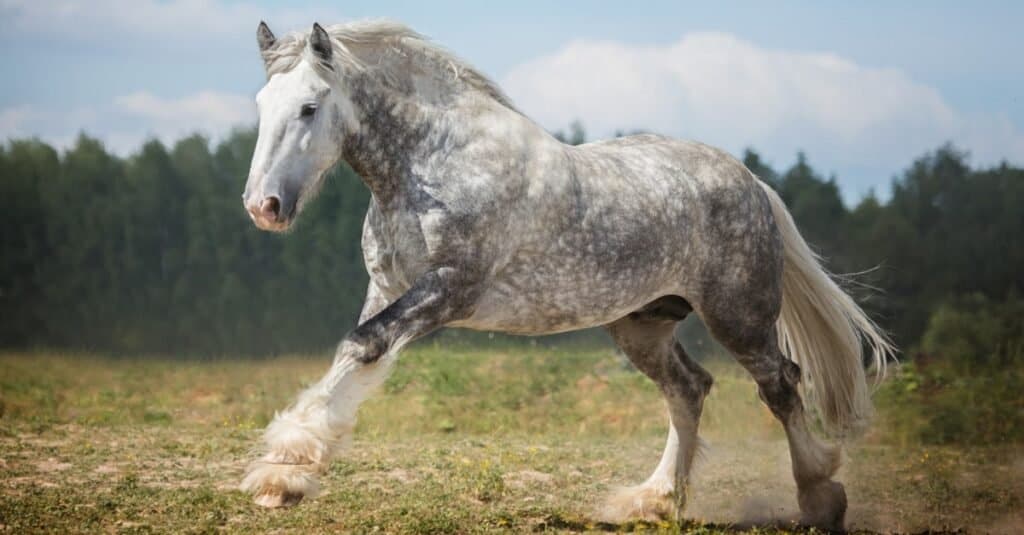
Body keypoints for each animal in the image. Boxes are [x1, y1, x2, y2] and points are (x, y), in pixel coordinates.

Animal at [235, 18, 892, 524]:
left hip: (739, 315)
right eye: (263, 106)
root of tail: (752, 180)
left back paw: (820, 497)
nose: (263, 207)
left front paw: (287, 459)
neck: (437, 163)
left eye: (309, 107)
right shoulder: (389, 289)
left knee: (779, 383)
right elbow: (356, 355)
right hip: (642, 324)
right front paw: (281, 478)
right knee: (690, 389)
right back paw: (654, 500)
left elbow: (361, 346)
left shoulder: (448, 290)